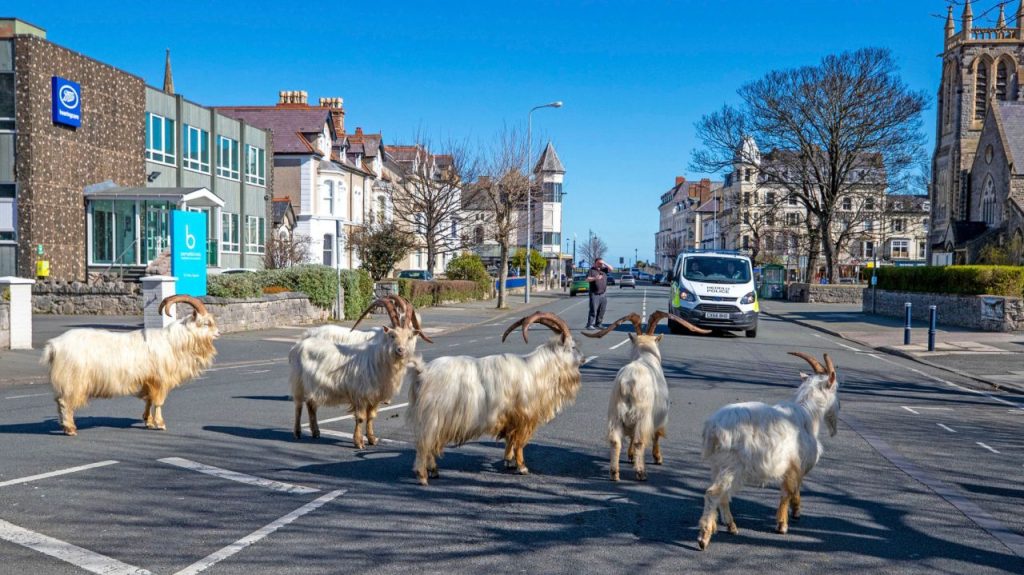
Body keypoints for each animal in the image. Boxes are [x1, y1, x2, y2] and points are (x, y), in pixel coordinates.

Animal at [40, 294, 220, 433]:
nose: (218, 333)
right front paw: (160, 424)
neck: (173, 342)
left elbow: (148, 401)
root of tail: (54, 346)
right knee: (65, 402)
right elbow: (158, 402)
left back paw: (65, 426)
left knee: (59, 402)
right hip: (73, 380)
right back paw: (70, 429)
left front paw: (148, 421)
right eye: (207, 323)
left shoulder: (147, 381)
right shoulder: (159, 380)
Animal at [290, 294, 430, 448]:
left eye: (409, 336)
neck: (378, 360)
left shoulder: (375, 396)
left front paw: (372, 439)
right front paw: (359, 442)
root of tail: (299, 343)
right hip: (298, 383)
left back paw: (316, 432)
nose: (401, 350)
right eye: (392, 335)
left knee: (311, 405)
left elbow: (371, 417)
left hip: (313, 386)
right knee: (298, 406)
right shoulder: (360, 394)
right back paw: (297, 433)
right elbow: (361, 417)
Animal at [405, 308, 585, 482]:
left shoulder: (510, 418)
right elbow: (519, 443)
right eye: (572, 347)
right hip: (433, 417)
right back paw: (424, 474)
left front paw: (509, 462)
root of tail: (422, 370)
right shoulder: (524, 416)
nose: (583, 358)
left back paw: (433, 471)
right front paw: (522, 468)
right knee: (425, 444)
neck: (536, 371)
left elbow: (510, 441)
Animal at [585, 308, 712, 478]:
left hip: (615, 413)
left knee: (615, 441)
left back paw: (614, 473)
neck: (646, 356)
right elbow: (656, 434)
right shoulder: (660, 413)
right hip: (642, 414)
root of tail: (628, 382)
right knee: (640, 441)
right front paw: (658, 458)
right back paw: (640, 472)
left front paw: (631, 456)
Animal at [696, 351, 839, 548]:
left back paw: (731, 526)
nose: (837, 410)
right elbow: (787, 492)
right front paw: (782, 525)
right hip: (733, 465)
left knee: (722, 495)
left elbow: (794, 489)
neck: (808, 414)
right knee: (714, 493)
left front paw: (795, 512)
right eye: (836, 388)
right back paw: (704, 537)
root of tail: (713, 428)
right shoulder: (793, 465)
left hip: (718, 466)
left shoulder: (792, 467)